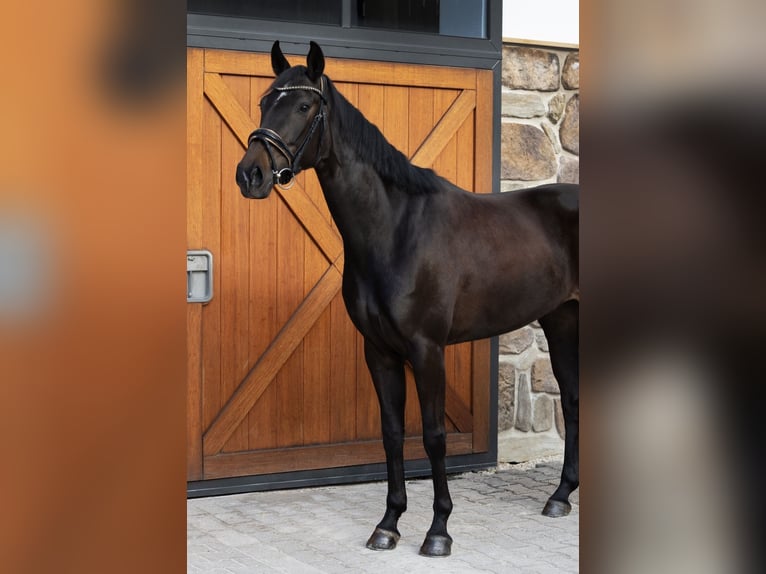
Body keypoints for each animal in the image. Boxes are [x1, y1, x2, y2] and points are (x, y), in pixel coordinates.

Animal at [236, 41, 579, 557]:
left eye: (303, 107)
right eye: (262, 102)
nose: (249, 174)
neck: (395, 228)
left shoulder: (427, 350)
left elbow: (433, 436)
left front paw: (438, 531)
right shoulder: (379, 351)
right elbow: (392, 433)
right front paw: (388, 524)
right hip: (561, 320)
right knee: (573, 399)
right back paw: (560, 496)